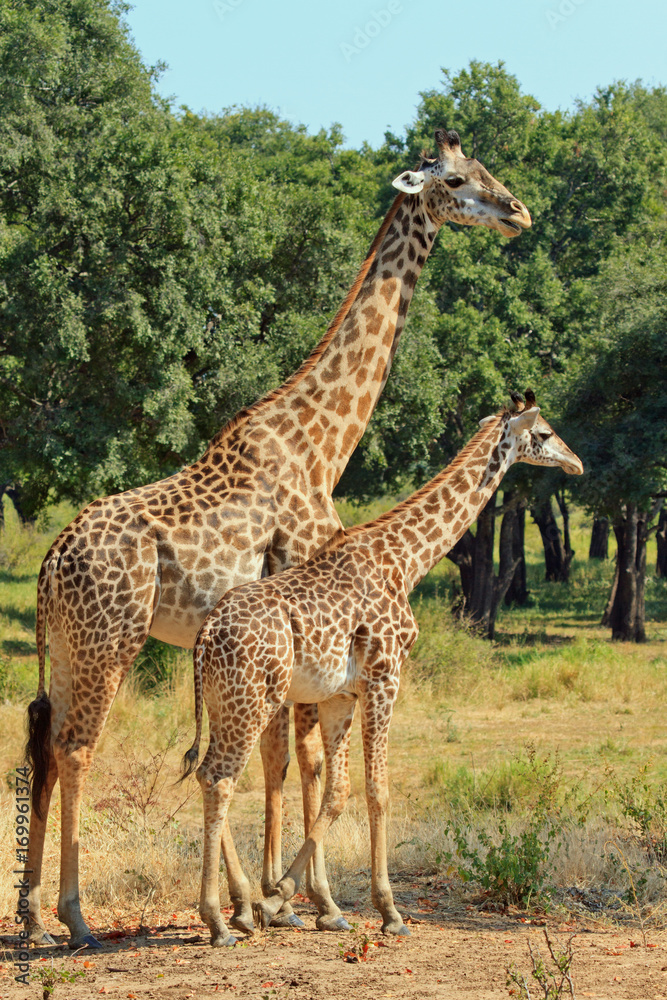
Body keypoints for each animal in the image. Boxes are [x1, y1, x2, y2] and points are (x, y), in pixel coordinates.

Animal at [25, 128, 531, 949]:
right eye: (456, 180)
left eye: (486, 169)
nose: (517, 212)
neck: (323, 440)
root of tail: (48, 563)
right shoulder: (304, 586)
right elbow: (302, 759)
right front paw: (307, 901)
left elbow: (280, 756)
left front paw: (274, 899)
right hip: (112, 640)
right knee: (78, 747)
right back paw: (77, 918)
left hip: (69, 645)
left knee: (42, 738)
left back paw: (33, 912)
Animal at [182, 394, 583, 945]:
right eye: (542, 434)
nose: (576, 462)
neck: (406, 560)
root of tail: (205, 638)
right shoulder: (385, 678)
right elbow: (378, 791)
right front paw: (388, 910)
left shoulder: (339, 696)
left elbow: (337, 793)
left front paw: (293, 899)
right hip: (253, 700)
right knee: (221, 778)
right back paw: (220, 920)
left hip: (229, 702)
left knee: (208, 773)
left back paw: (241, 907)